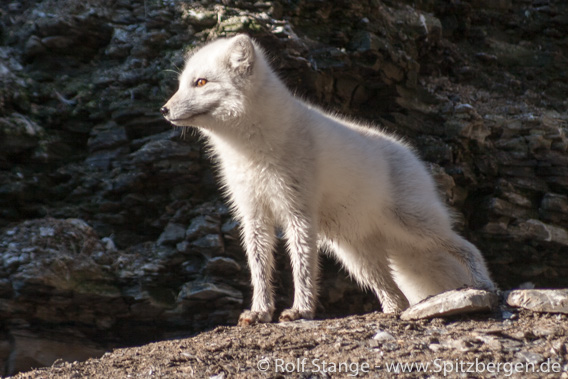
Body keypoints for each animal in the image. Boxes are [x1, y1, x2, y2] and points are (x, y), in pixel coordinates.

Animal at [161, 34, 496, 326]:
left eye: (200, 82)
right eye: (180, 84)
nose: (163, 110)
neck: (249, 152)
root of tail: (411, 154)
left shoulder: (298, 213)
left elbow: (302, 268)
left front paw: (300, 310)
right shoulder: (254, 215)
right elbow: (260, 271)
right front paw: (260, 312)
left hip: (414, 226)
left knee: (467, 246)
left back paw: (483, 285)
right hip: (356, 255)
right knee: (395, 294)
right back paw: (392, 312)